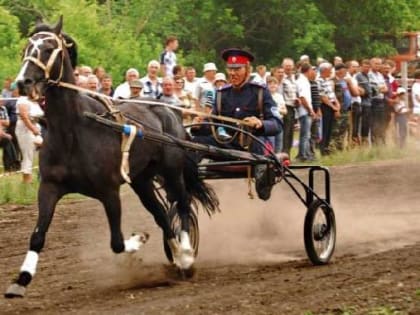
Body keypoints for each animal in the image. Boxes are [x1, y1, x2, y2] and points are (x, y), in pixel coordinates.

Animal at [4, 17, 220, 298]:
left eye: (49, 48)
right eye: (27, 47)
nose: (24, 82)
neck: (73, 131)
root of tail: (171, 112)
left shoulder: (109, 190)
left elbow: (116, 242)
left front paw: (140, 238)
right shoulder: (50, 187)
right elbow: (38, 236)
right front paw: (21, 279)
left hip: (172, 171)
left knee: (182, 205)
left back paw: (185, 255)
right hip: (141, 180)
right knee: (162, 214)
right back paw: (176, 256)